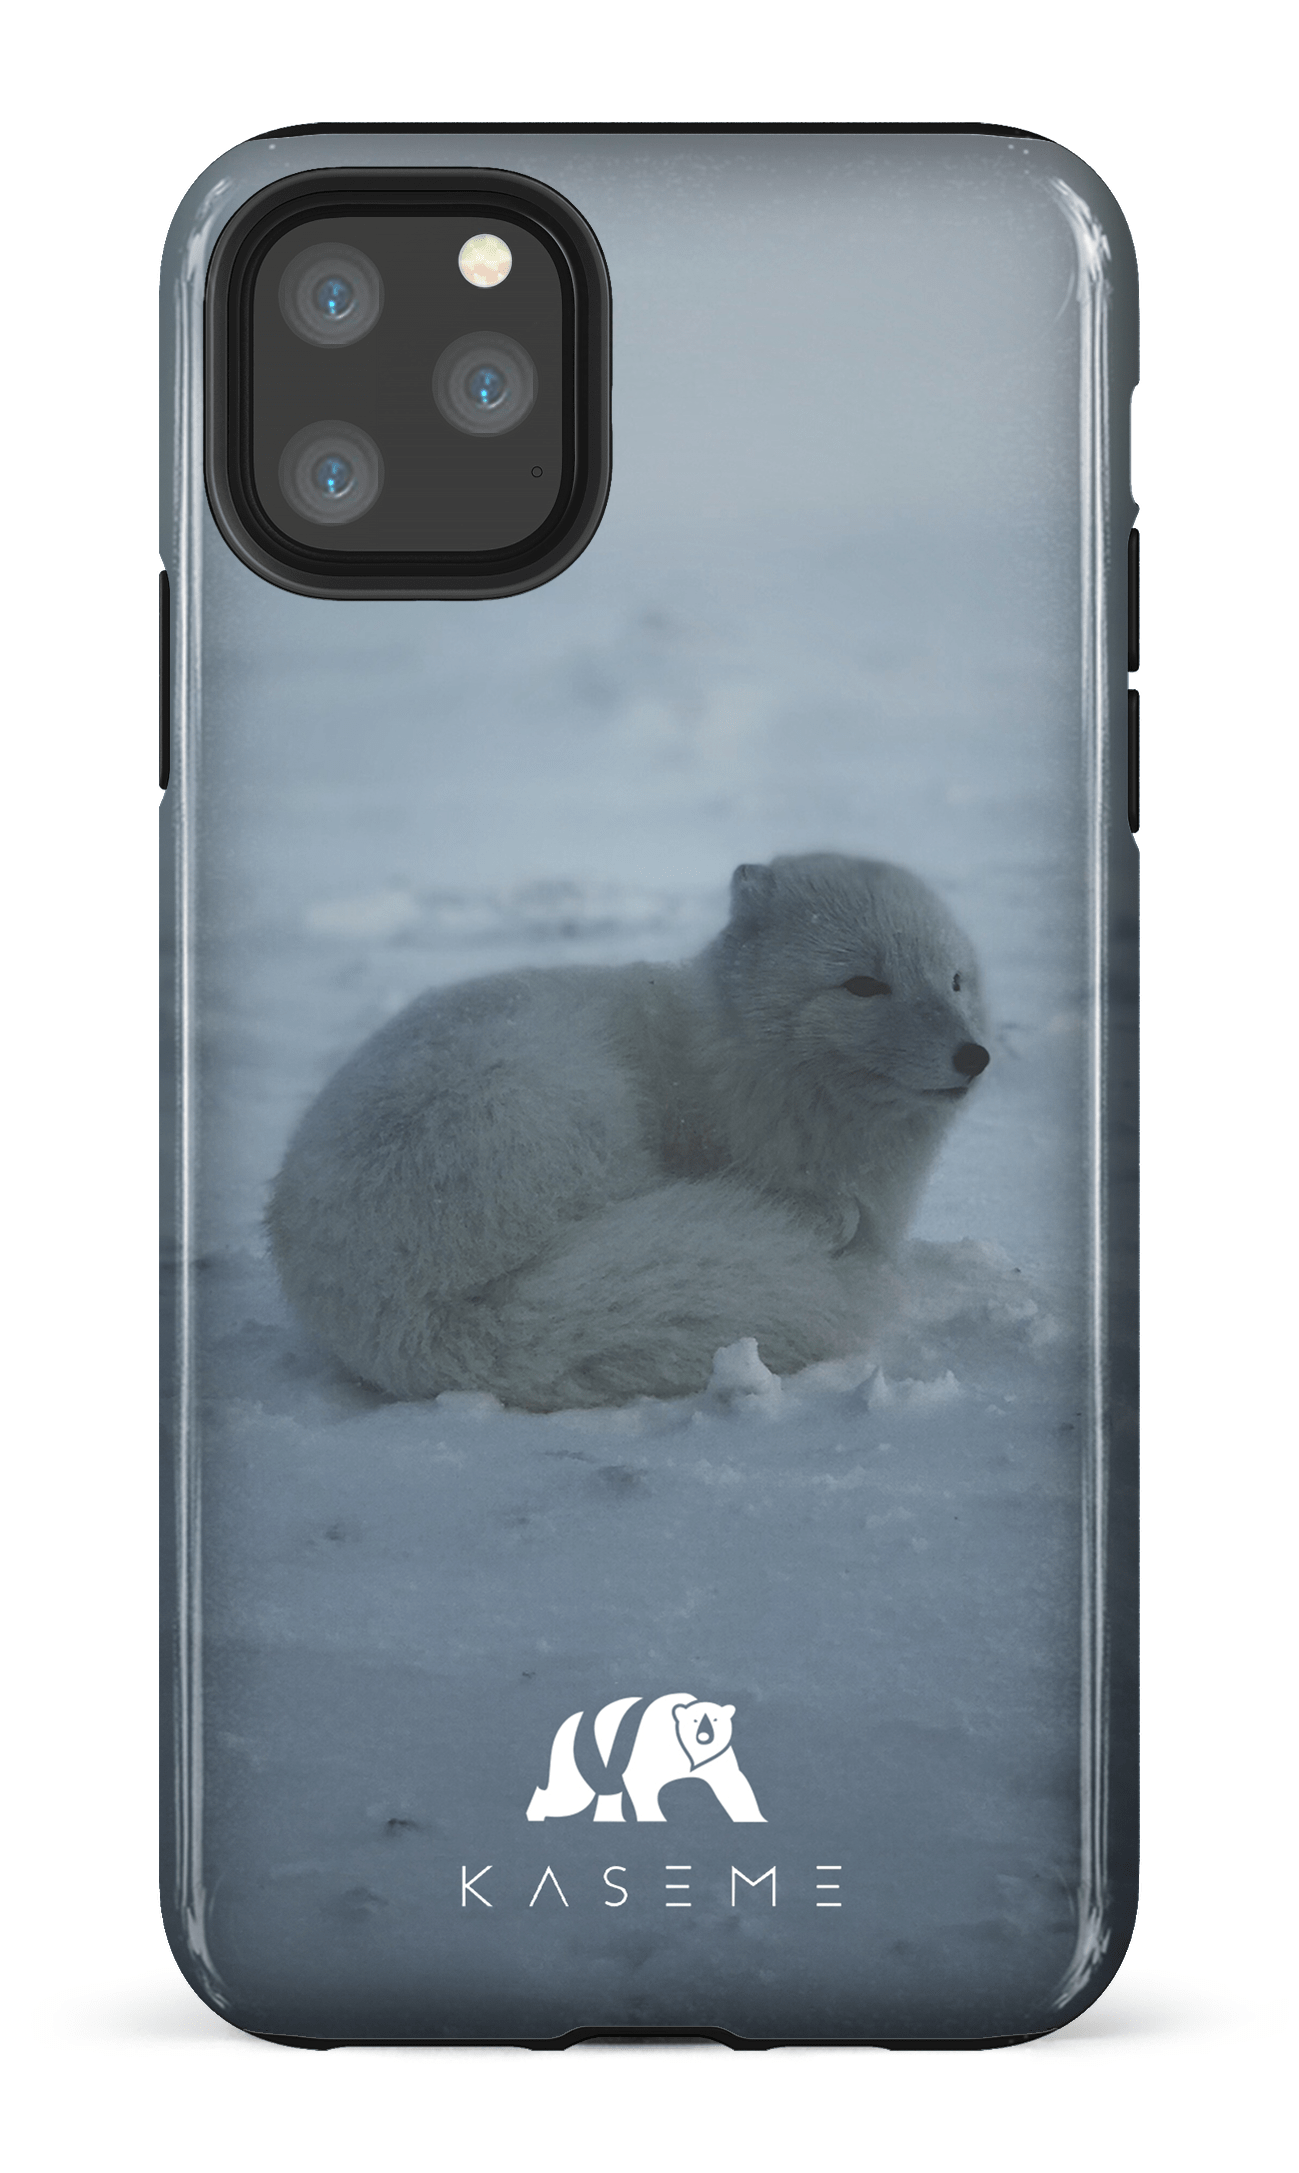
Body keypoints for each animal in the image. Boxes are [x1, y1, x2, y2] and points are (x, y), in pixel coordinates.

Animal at [268, 854, 991, 1409]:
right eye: (863, 984)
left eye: (954, 980)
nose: (974, 1055)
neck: (737, 1057)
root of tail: (416, 1316)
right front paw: (827, 1219)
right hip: (557, 1105)